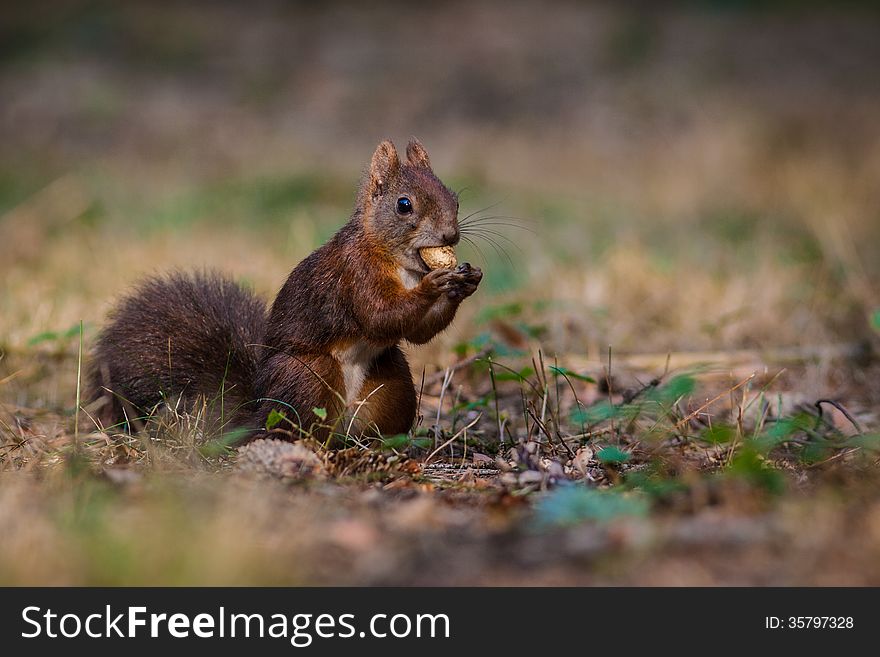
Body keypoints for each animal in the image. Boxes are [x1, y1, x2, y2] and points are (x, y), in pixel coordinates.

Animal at [87, 139, 484, 444]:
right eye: (404, 205)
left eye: (455, 199)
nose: (450, 235)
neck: (399, 262)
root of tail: (261, 408)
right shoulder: (354, 272)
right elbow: (379, 316)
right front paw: (435, 285)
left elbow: (417, 333)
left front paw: (467, 282)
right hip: (308, 377)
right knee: (296, 427)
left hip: (393, 382)